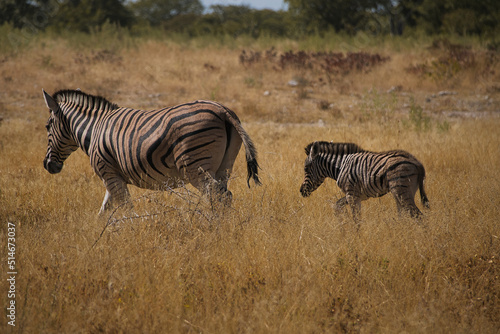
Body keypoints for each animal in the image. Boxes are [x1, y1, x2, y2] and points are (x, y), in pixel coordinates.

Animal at [43, 88, 262, 214]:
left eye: (47, 126)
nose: (48, 166)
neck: (95, 129)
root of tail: (223, 110)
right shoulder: (113, 175)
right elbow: (105, 211)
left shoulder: (108, 173)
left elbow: (125, 208)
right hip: (224, 167)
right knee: (226, 196)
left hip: (196, 168)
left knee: (217, 196)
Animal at [300, 140, 430, 219]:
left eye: (306, 168)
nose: (301, 191)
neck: (340, 165)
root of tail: (417, 162)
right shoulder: (358, 195)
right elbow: (337, 205)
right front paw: (342, 225)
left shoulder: (351, 194)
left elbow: (356, 219)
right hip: (404, 192)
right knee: (404, 215)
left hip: (401, 190)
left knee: (419, 216)